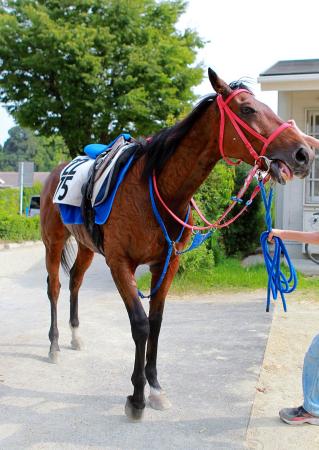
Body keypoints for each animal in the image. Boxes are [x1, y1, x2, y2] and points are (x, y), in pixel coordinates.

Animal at [40, 68, 316, 420]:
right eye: (247, 109)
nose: (304, 153)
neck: (155, 189)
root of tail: (57, 172)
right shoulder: (119, 263)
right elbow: (140, 325)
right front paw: (136, 398)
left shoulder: (167, 262)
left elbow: (156, 323)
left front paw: (155, 389)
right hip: (53, 241)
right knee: (55, 287)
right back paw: (54, 345)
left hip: (87, 246)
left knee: (75, 281)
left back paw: (75, 336)